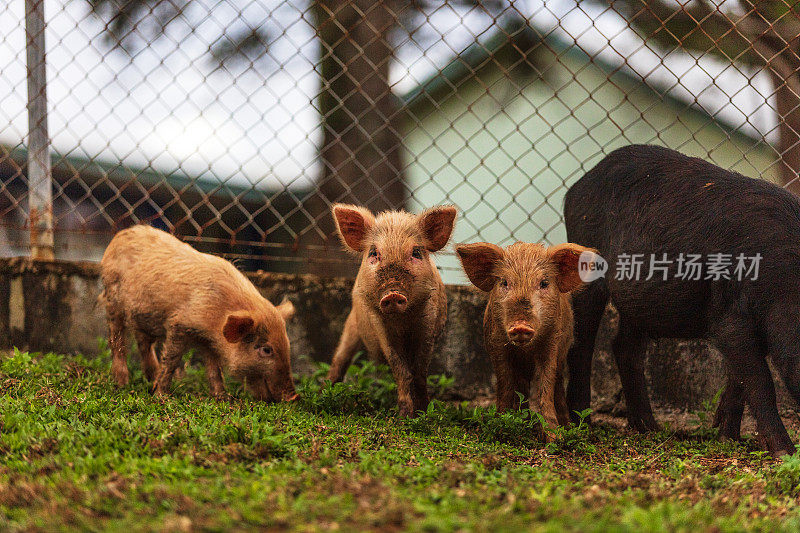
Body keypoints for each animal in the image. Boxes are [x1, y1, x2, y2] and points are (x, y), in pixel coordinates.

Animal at [564, 143, 800, 456]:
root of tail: (575, 188)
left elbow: (739, 378)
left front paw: (727, 437)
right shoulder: (730, 315)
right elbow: (759, 379)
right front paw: (785, 452)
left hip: (639, 302)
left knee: (624, 348)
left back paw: (649, 427)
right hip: (588, 268)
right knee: (582, 342)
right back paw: (583, 423)